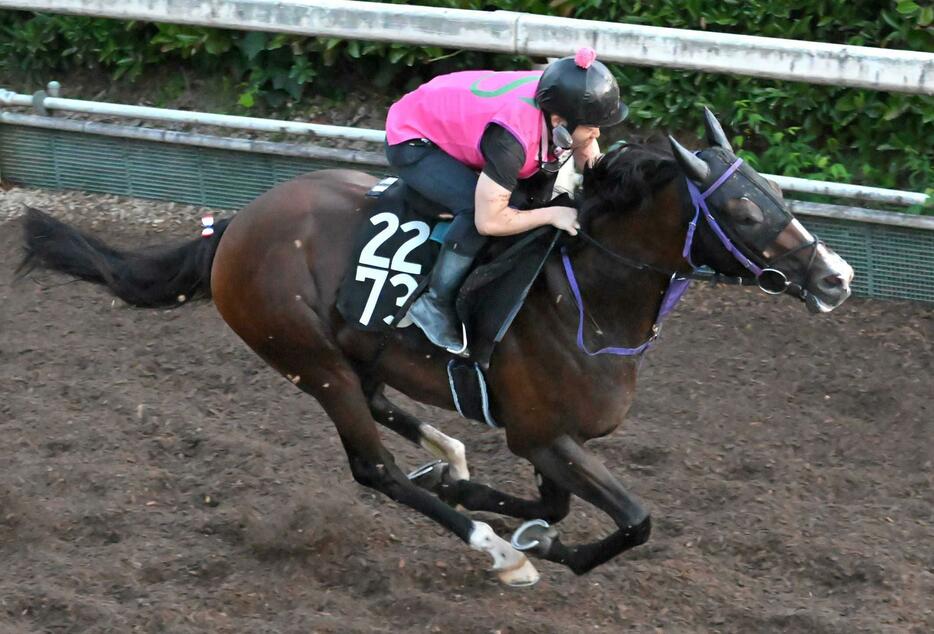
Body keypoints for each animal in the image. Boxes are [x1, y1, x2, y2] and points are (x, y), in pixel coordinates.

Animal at [22, 108, 856, 584]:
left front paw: (485, 497)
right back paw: (496, 551)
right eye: (742, 213)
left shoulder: (546, 438)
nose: (837, 278)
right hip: (305, 357)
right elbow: (632, 517)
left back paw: (447, 458)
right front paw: (538, 550)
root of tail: (235, 227)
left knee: (385, 405)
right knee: (373, 467)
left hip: (351, 349)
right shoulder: (541, 434)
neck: (587, 300)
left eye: (779, 195)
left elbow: (555, 503)